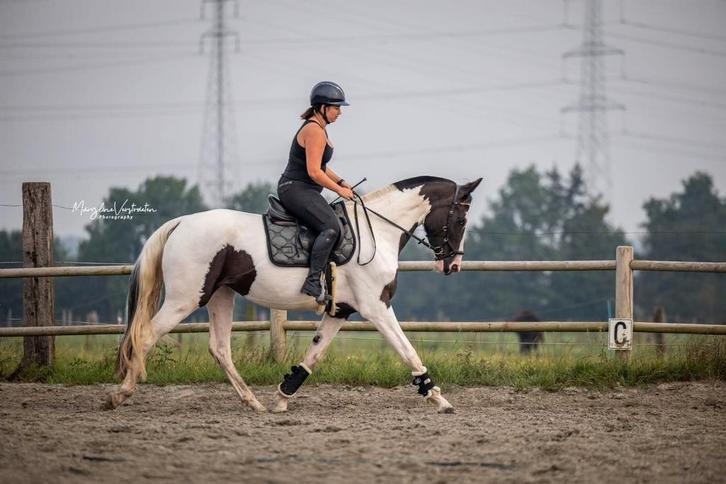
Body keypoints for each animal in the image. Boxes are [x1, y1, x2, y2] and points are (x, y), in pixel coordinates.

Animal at [105, 175, 482, 413]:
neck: (378, 229)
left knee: (220, 348)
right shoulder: (377, 307)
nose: (453, 265)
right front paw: (437, 397)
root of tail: (181, 222)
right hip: (185, 299)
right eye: (461, 220)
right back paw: (119, 395)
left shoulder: (339, 311)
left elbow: (314, 353)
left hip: (220, 296)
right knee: (146, 335)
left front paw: (283, 395)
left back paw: (253, 402)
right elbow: (407, 350)